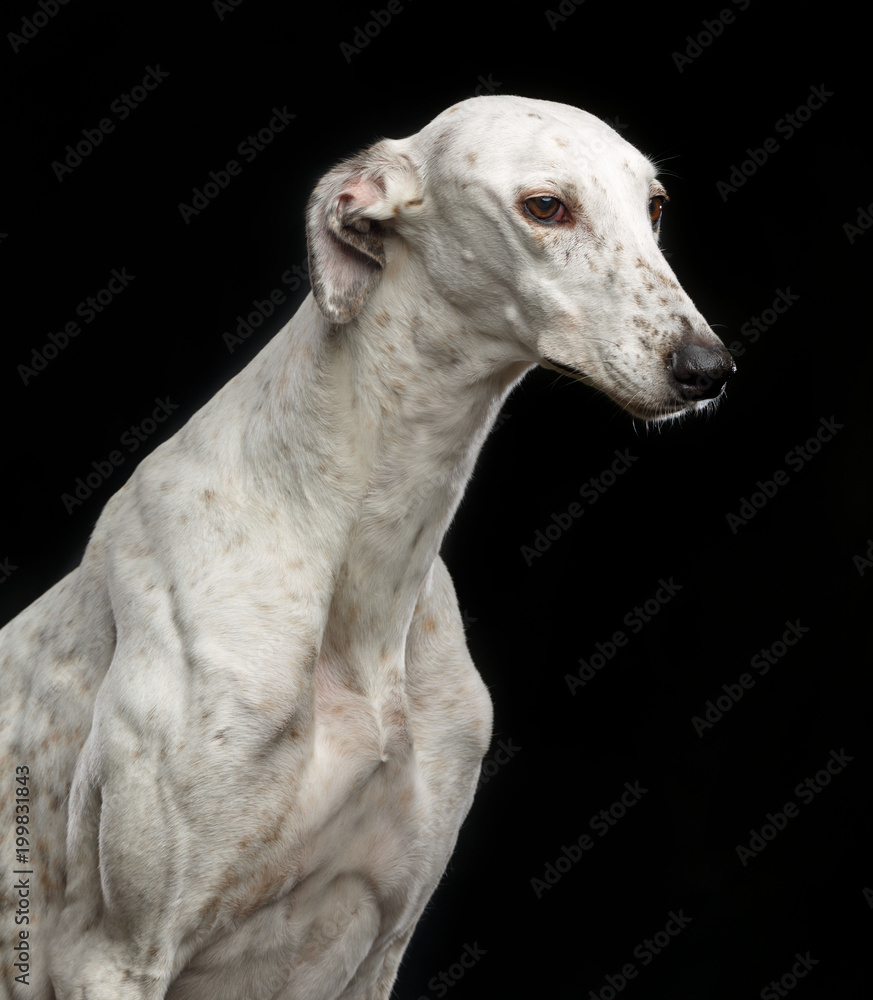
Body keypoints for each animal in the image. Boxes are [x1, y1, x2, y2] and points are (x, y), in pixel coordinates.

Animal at [0, 95, 732, 1000]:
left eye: (654, 206)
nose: (708, 368)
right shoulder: (118, 955)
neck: (362, 565)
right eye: (545, 207)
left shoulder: (385, 938)